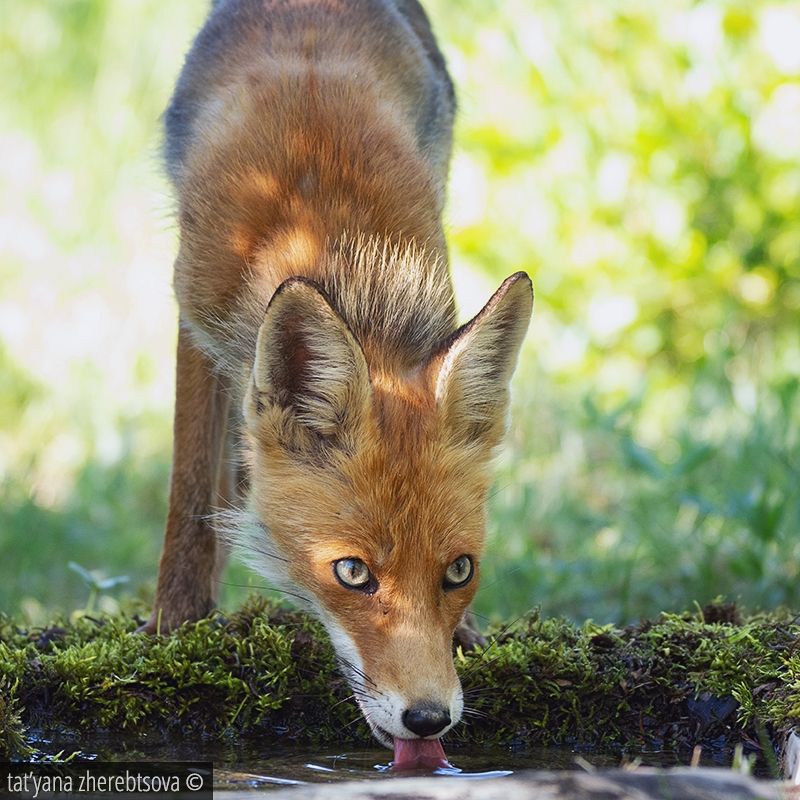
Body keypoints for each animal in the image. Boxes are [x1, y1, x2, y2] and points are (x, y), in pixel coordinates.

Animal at [142, 0, 532, 764]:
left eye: (460, 570)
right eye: (352, 573)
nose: (429, 720)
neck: (323, 233)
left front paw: (468, 637)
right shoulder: (194, 317)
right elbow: (193, 495)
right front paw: (176, 627)